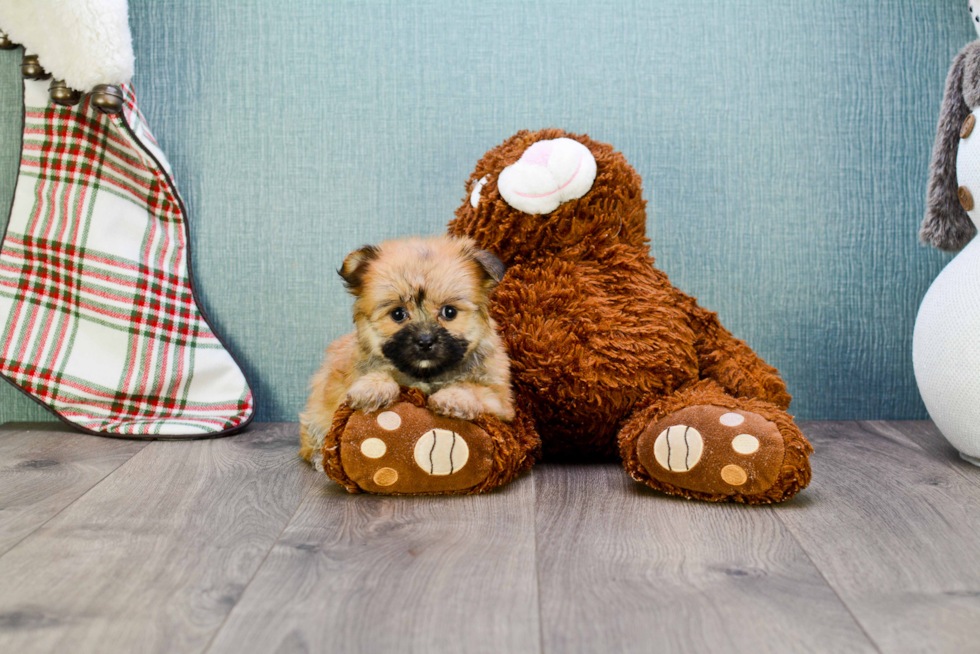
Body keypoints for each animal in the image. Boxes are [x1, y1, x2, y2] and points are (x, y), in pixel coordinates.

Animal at [296, 238, 512, 468]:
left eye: (449, 312)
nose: (425, 341)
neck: (425, 375)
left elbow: (474, 388)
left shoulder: (501, 401)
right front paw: (374, 388)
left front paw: (454, 397)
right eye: (398, 314)